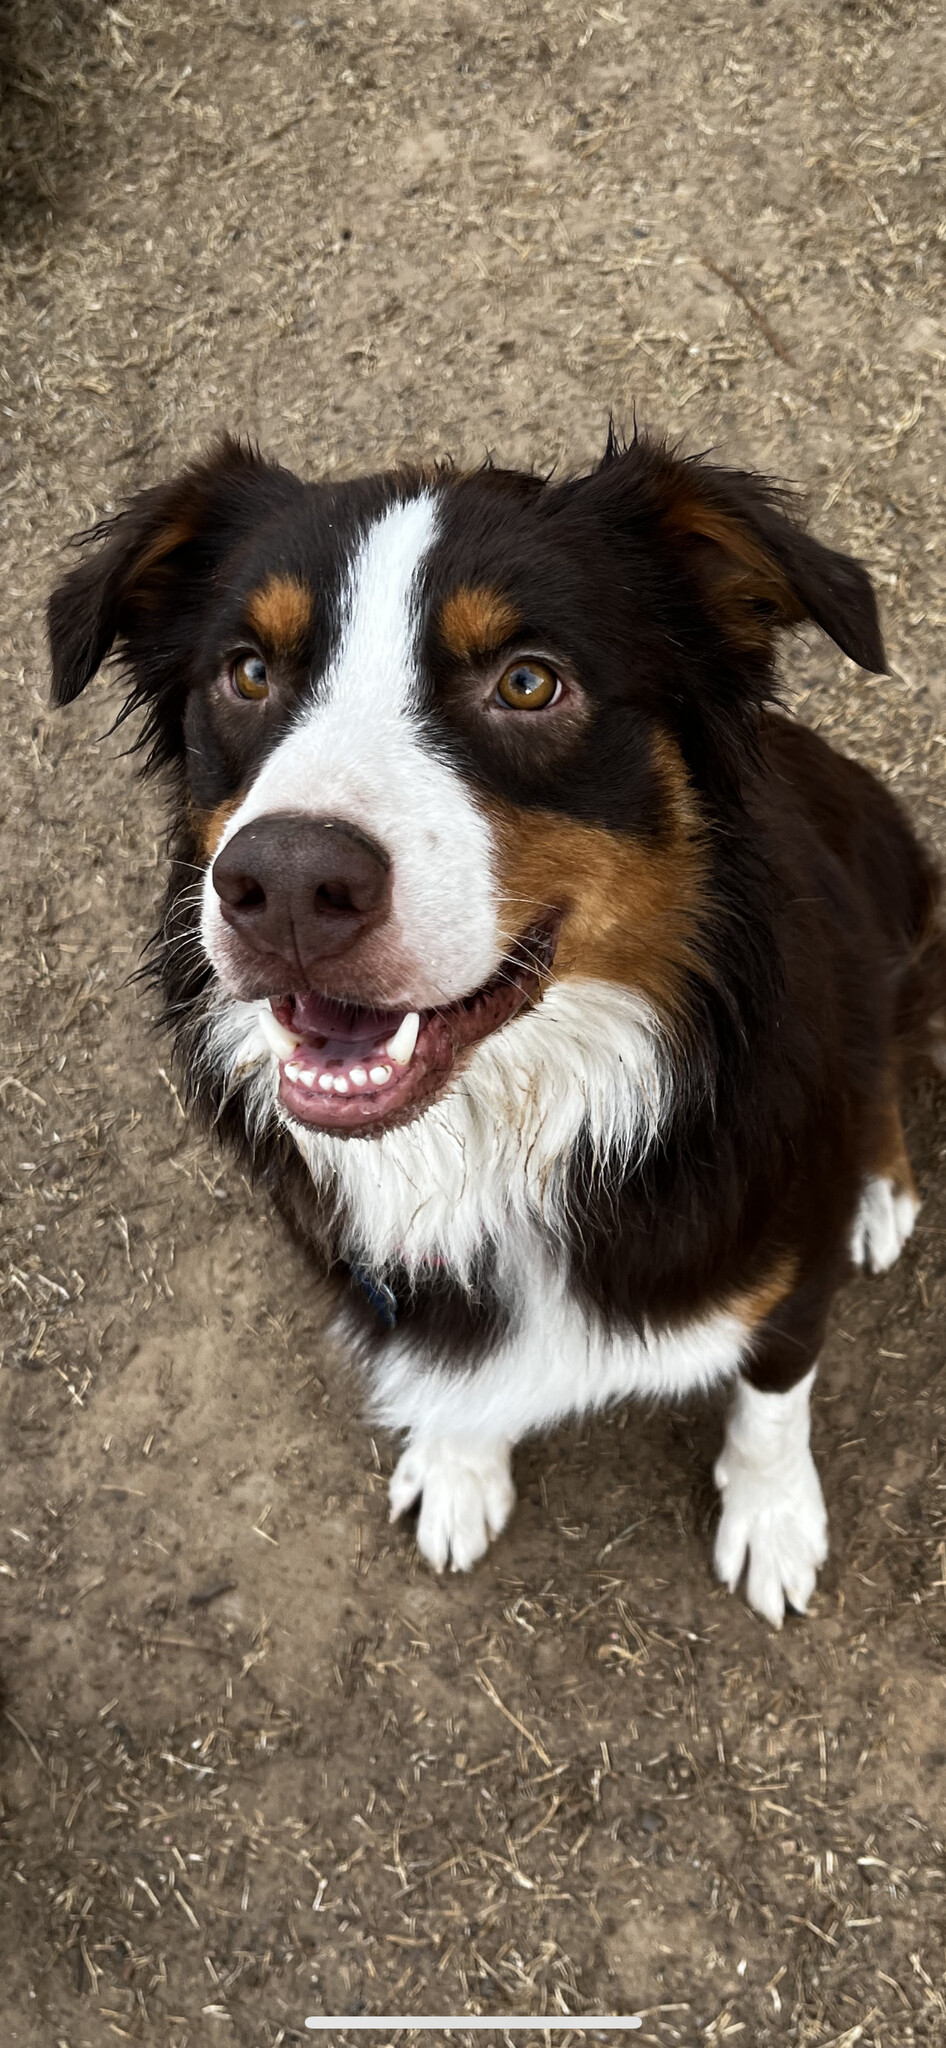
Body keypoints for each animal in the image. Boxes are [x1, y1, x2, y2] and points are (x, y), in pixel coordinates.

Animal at [46, 436, 946, 1630]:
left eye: (528, 680)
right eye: (246, 672)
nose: (283, 885)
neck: (510, 1128)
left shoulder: (786, 1269)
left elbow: (770, 1398)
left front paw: (774, 1519)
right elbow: (456, 1378)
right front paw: (457, 1463)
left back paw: (880, 1190)